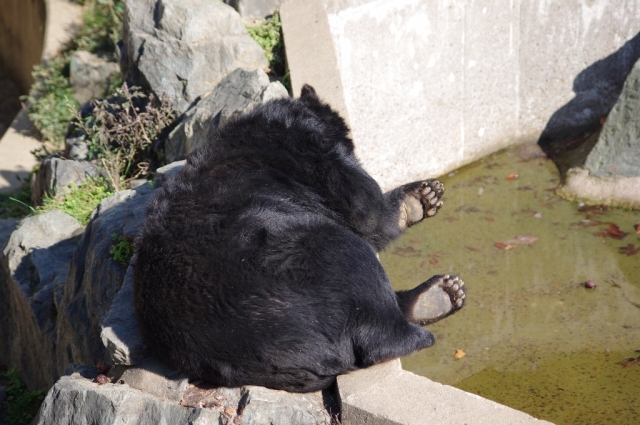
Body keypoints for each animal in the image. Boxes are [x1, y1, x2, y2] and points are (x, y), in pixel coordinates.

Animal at [135, 84, 464, 392]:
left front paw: (424, 196)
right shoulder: (317, 159)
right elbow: (366, 211)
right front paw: (419, 198)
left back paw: (440, 294)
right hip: (312, 259)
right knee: (360, 276)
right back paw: (427, 314)